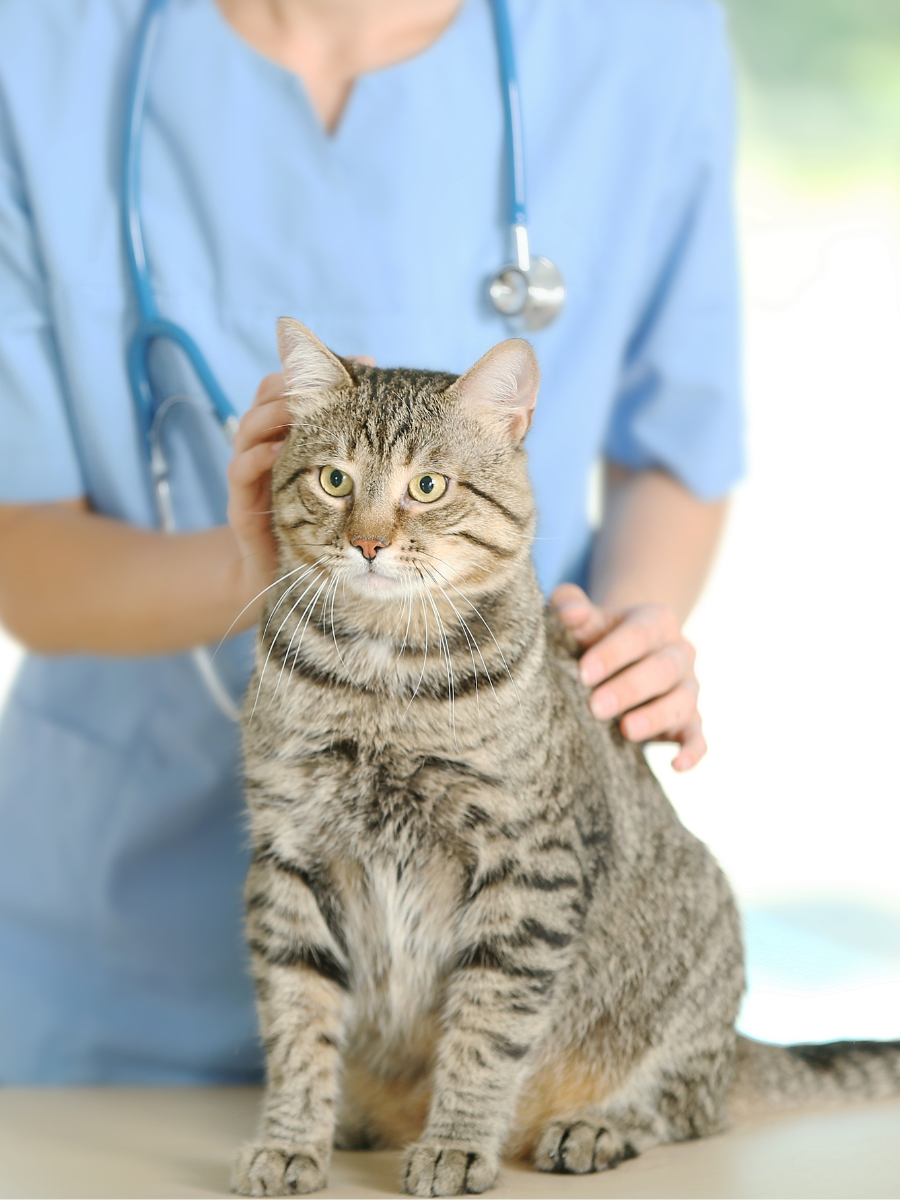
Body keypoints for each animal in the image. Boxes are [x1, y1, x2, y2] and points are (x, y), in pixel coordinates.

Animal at [230, 321, 900, 1200]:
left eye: (428, 486)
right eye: (336, 480)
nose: (368, 541)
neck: (384, 680)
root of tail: (737, 1046)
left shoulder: (527, 864)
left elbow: (486, 1030)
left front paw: (456, 1142)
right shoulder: (291, 854)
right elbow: (297, 1022)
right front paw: (290, 1138)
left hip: (699, 946)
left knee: (688, 1107)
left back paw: (594, 1126)